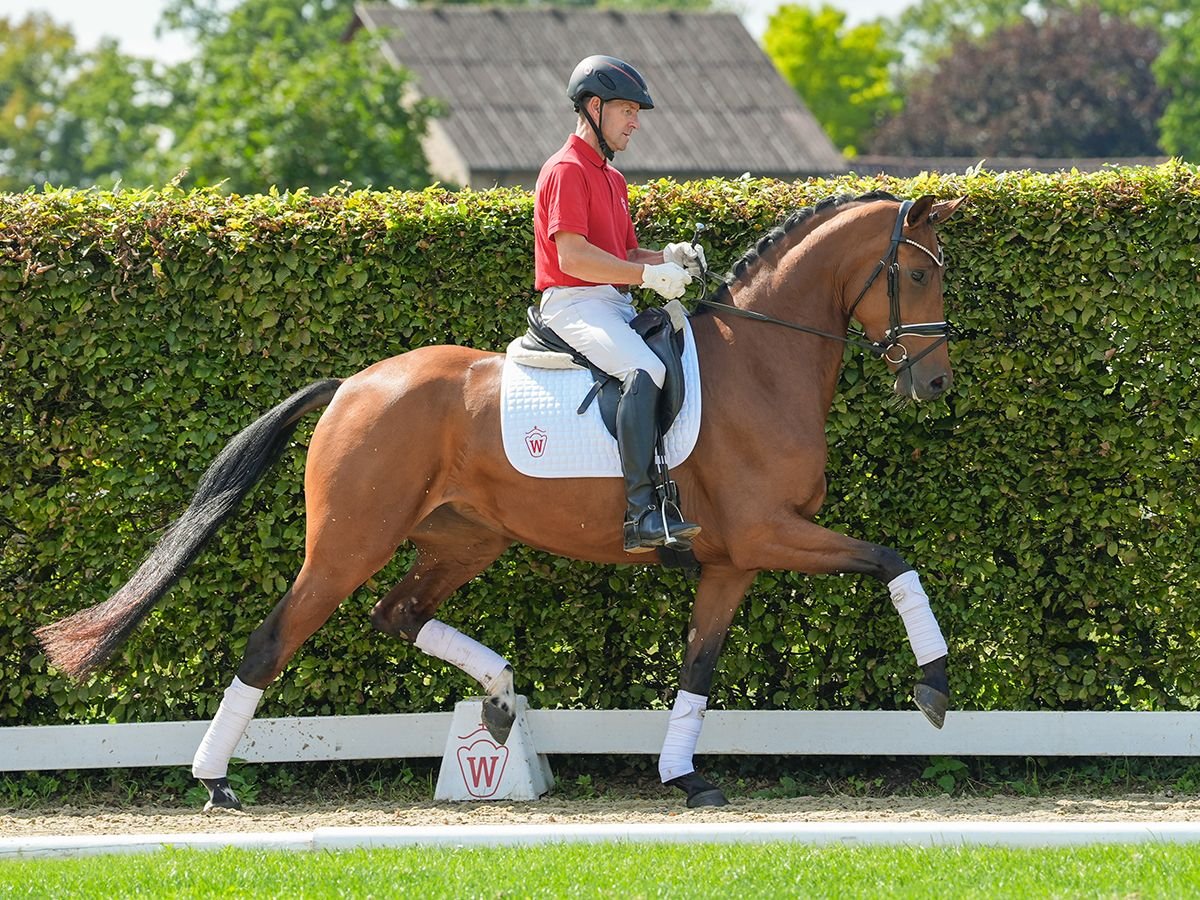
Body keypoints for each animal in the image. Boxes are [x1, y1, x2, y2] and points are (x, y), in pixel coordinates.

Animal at [37, 190, 969, 811]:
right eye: (917, 272)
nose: (934, 383)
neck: (764, 360)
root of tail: (353, 385)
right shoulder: (771, 532)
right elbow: (895, 560)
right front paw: (933, 688)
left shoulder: (732, 559)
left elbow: (698, 668)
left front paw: (685, 776)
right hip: (348, 543)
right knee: (275, 639)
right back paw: (216, 781)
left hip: (463, 539)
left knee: (398, 614)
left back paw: (495, 695)